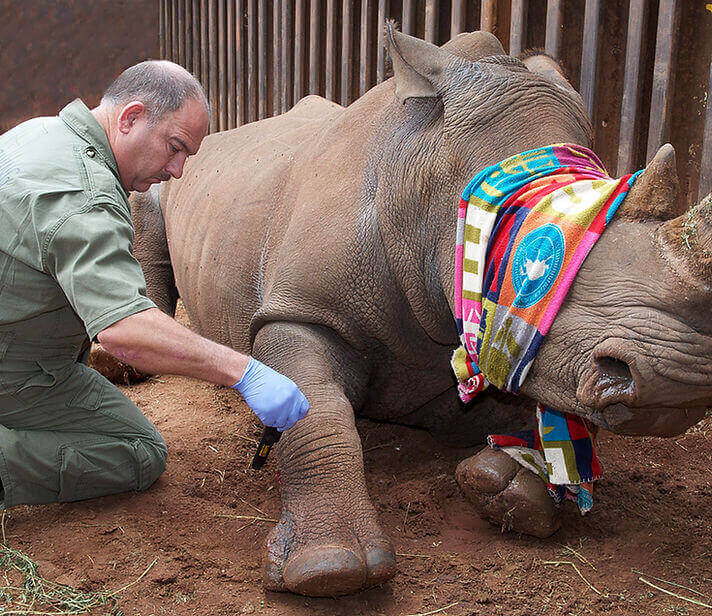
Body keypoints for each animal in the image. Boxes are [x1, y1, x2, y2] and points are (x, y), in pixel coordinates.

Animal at [122, 26, 712, 596]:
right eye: (530, 254)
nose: (677, 381)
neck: (421, 185)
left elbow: (540, 406)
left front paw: (508, 491)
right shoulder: (300, 309)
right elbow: (317, 407)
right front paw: (328, 568)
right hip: (171, 170)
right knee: (141, 207)